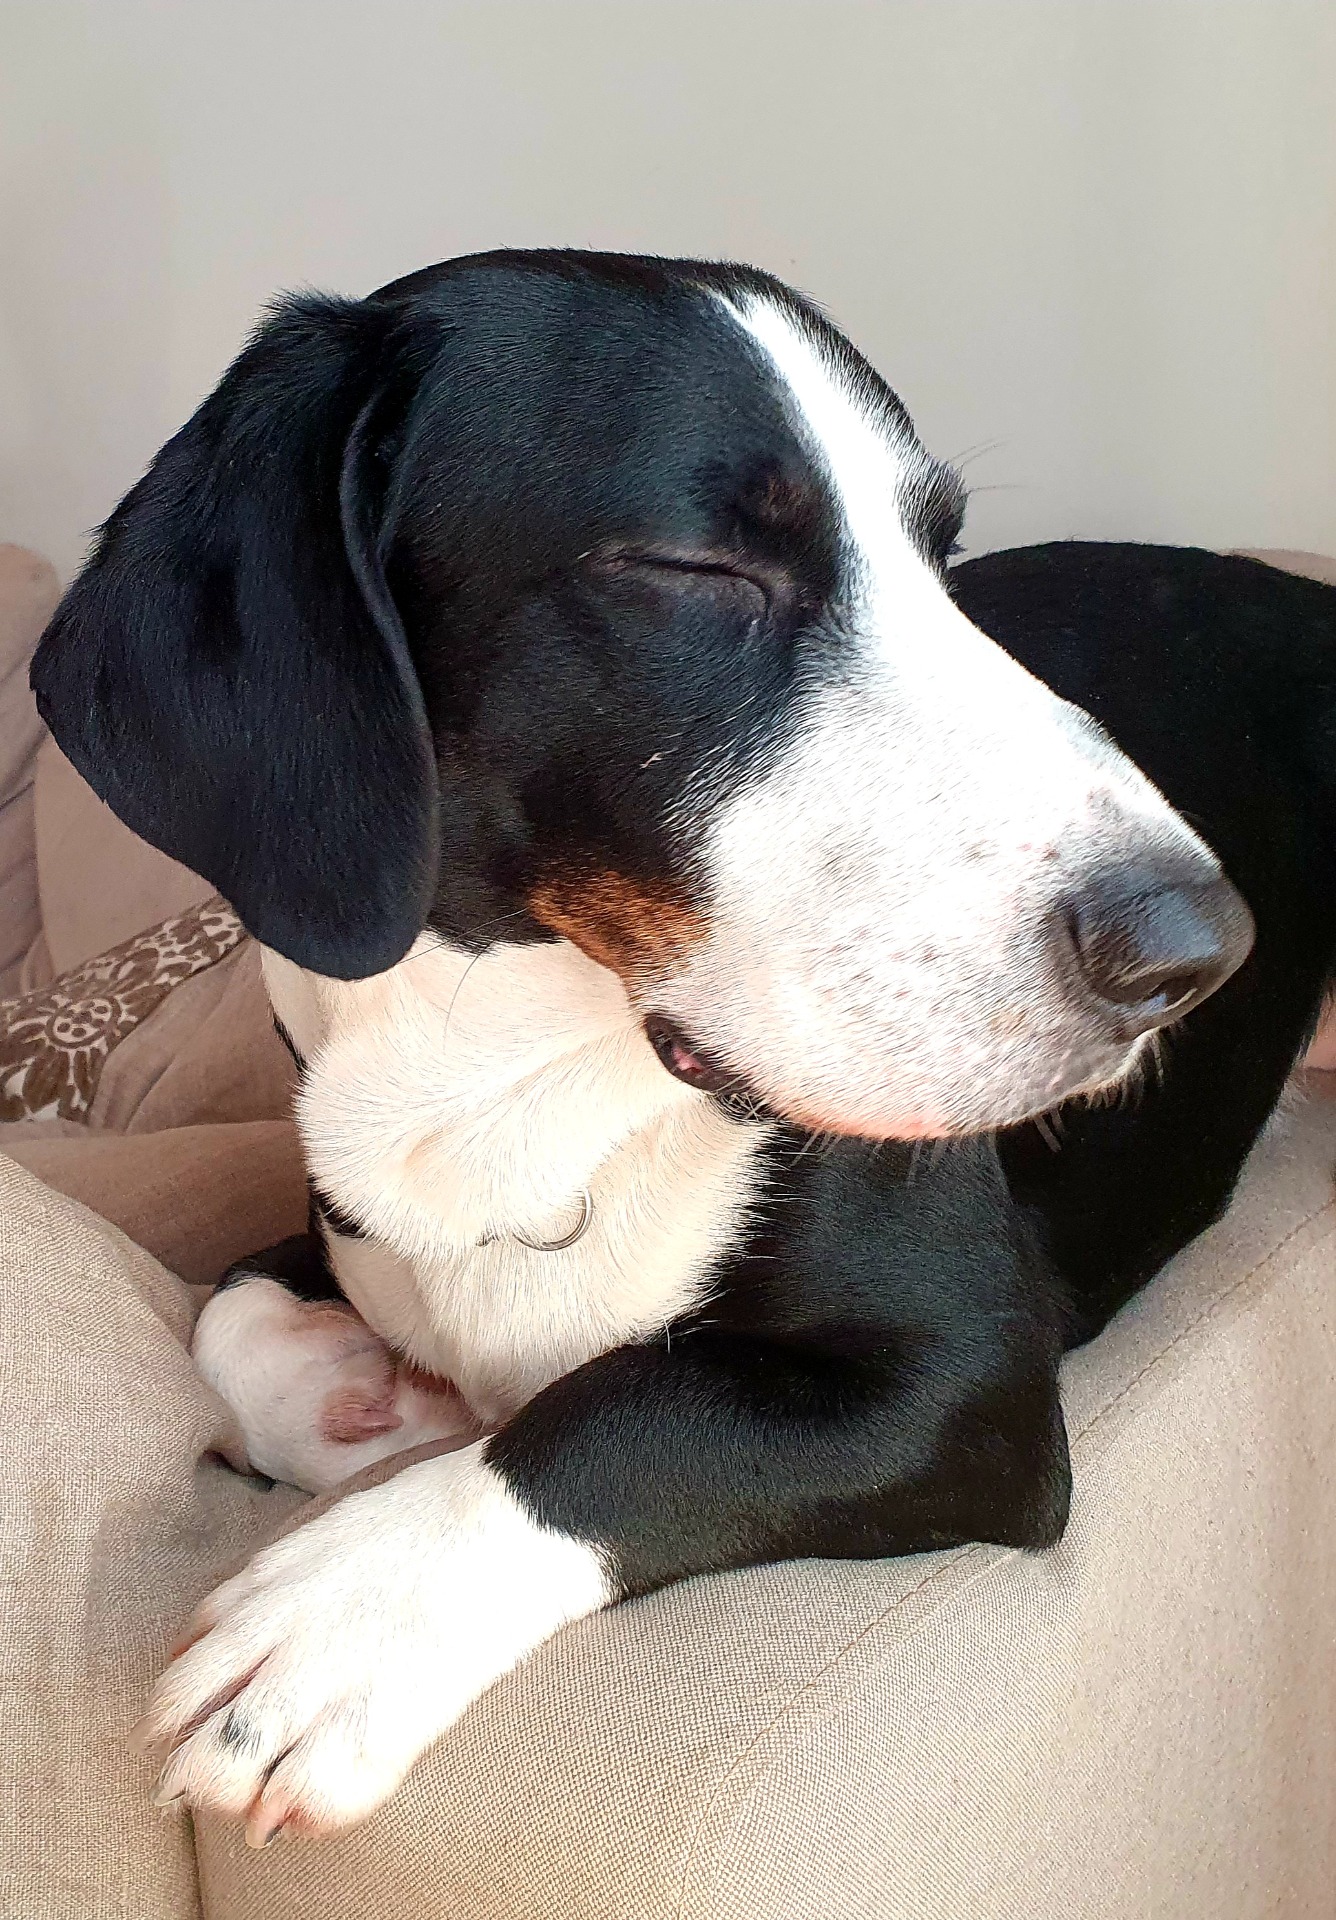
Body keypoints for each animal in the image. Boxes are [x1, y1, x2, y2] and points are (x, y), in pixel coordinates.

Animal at [30, 250, 1335, 1845]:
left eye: (944, 566)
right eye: (698, 573)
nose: (1197, 948)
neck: (518, 1094)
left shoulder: (964, 1388)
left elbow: (629, 1408)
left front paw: (351, 1614)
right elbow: (224, 1320)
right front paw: (364, 1407)